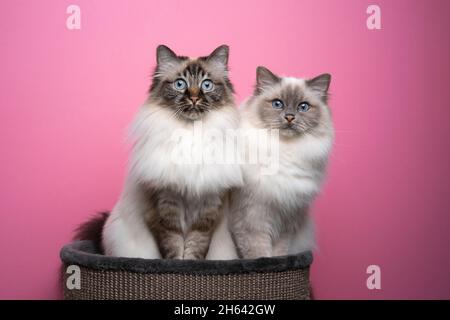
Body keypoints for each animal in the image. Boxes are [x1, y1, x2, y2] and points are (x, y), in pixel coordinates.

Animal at [101, 45, 243, 260]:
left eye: (207, 85)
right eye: (180, 84)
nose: (194, 98)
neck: (191, 133)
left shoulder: (208, 206)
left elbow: (196, 246)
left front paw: (191, 265)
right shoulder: (165, 204)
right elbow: (173, 246)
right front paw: (177, 265)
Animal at [229, 66, 334, 258]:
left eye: (303, 107)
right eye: (278, 104)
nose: (290, 117)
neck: (284, 150)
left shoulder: (287, 220)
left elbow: (279, 253)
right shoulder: (252, 220)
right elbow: (260, 254)